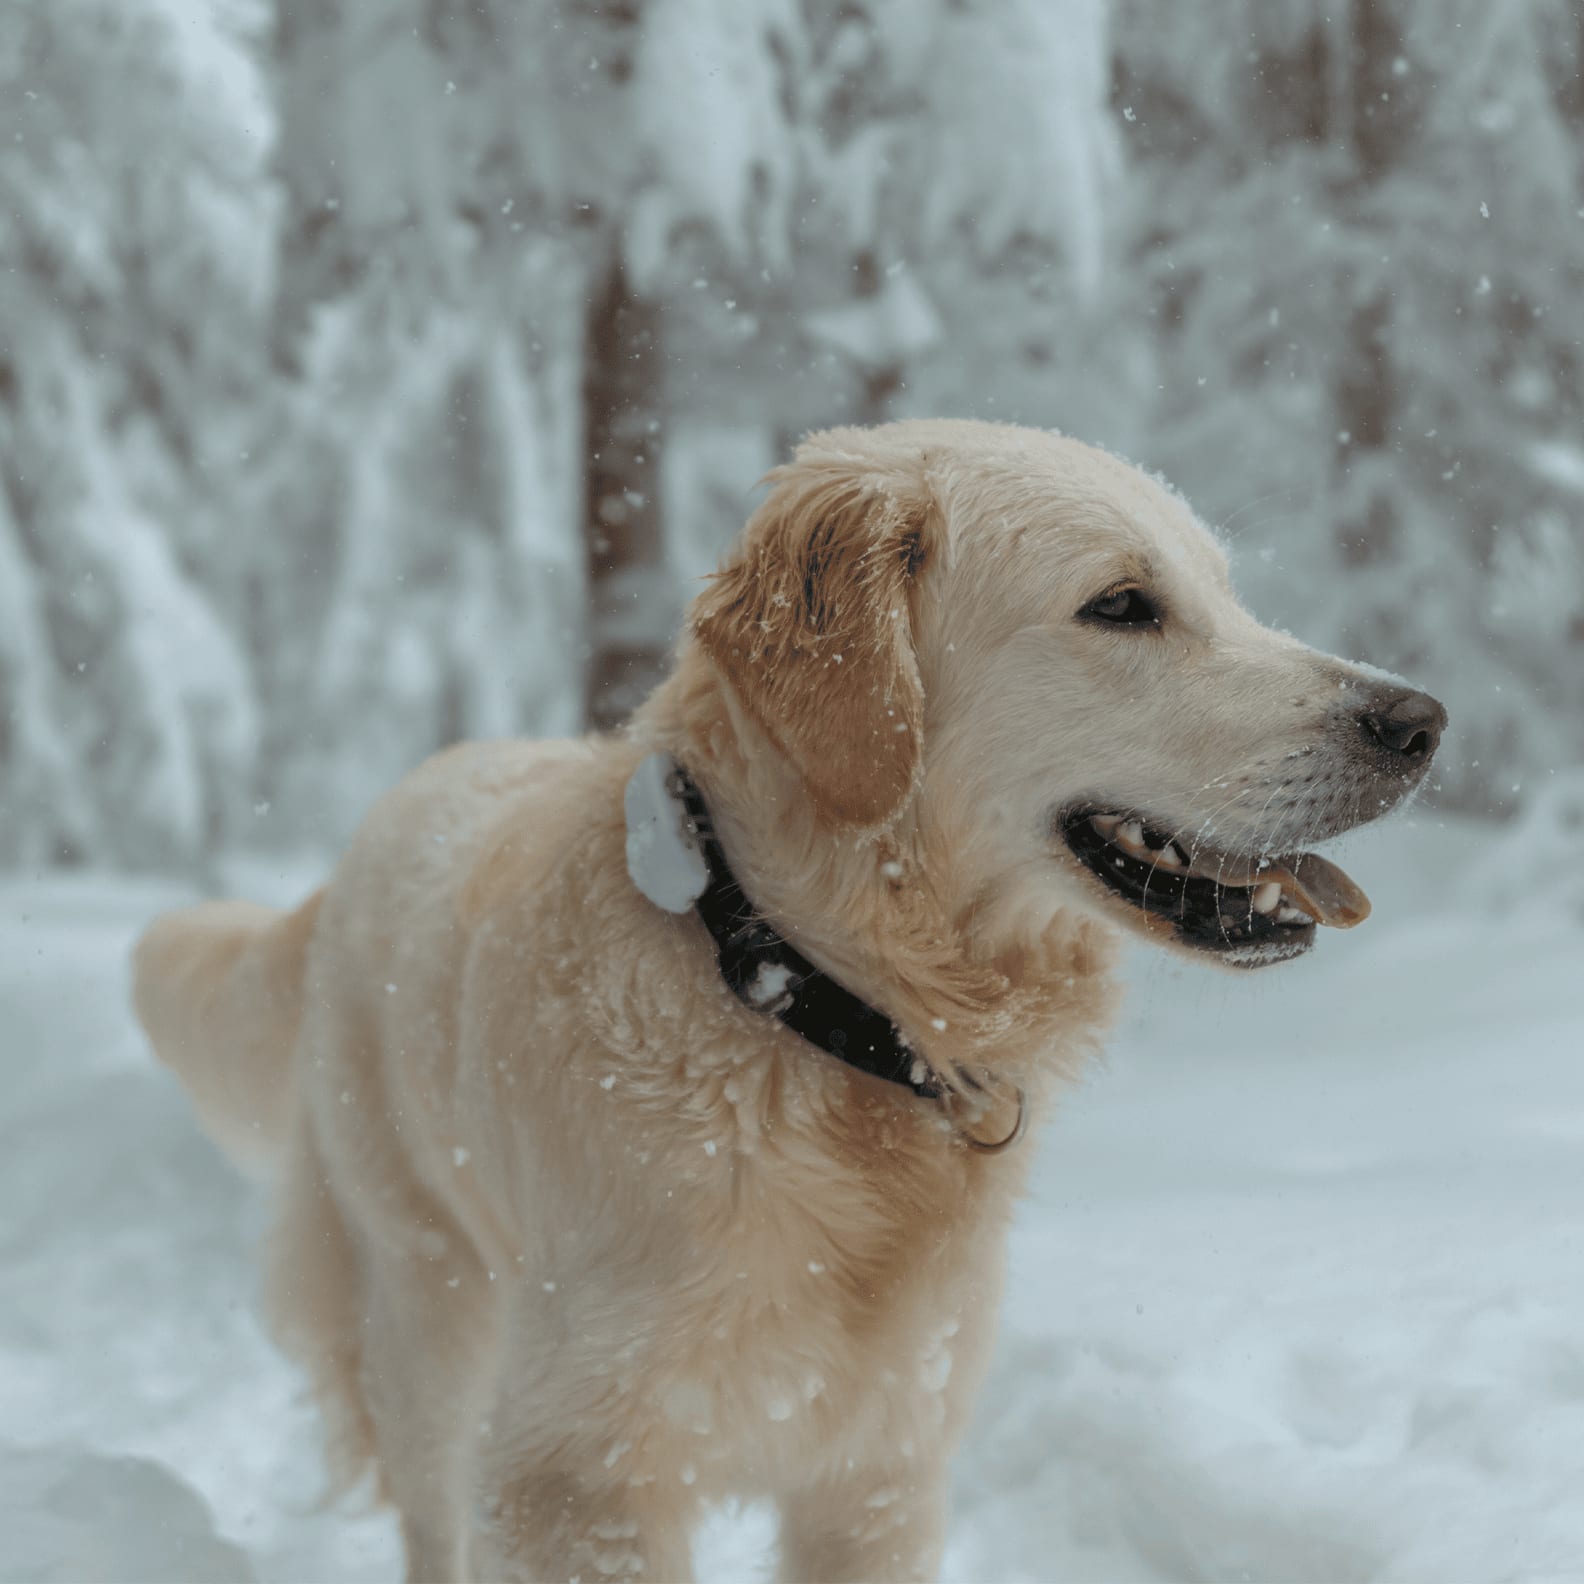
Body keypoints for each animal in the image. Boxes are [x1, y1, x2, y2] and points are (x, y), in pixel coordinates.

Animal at [139, 415, 1450, 1577]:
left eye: (1225, 592)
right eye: (1123, 605)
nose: (1422, 721)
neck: (807, 999)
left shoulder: (880, 1467)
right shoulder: (582, 1475)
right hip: (429, 1316)